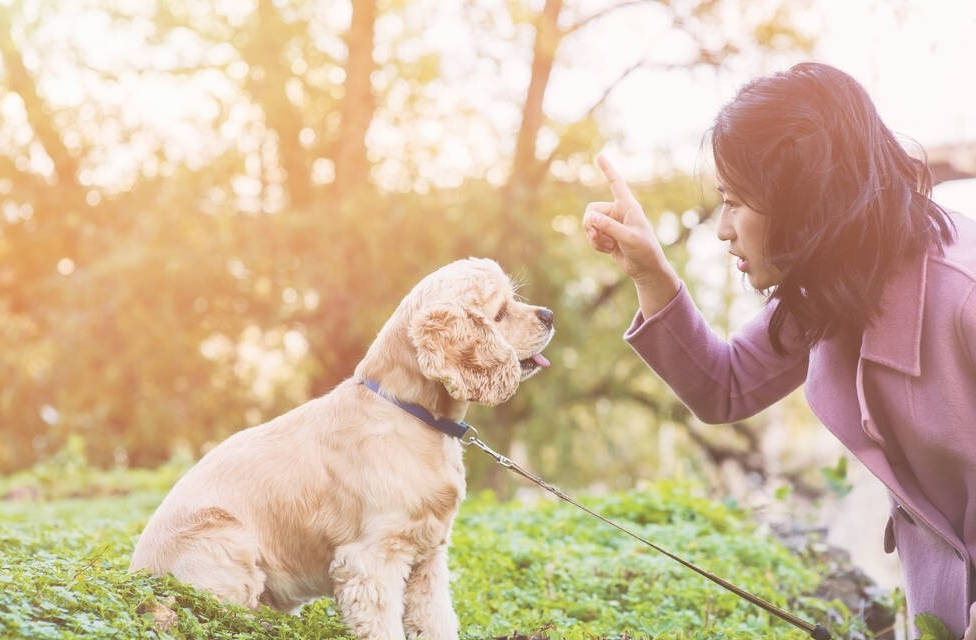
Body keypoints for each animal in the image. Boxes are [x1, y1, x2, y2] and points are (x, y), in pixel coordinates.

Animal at [130, 258, 552, 640]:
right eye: (500, 313)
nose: (548, 314)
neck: (411, 414)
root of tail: (136, 576)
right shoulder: (371, 560)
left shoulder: (428, 558)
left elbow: (436, 620)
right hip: (224, 540)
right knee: (221, 615)